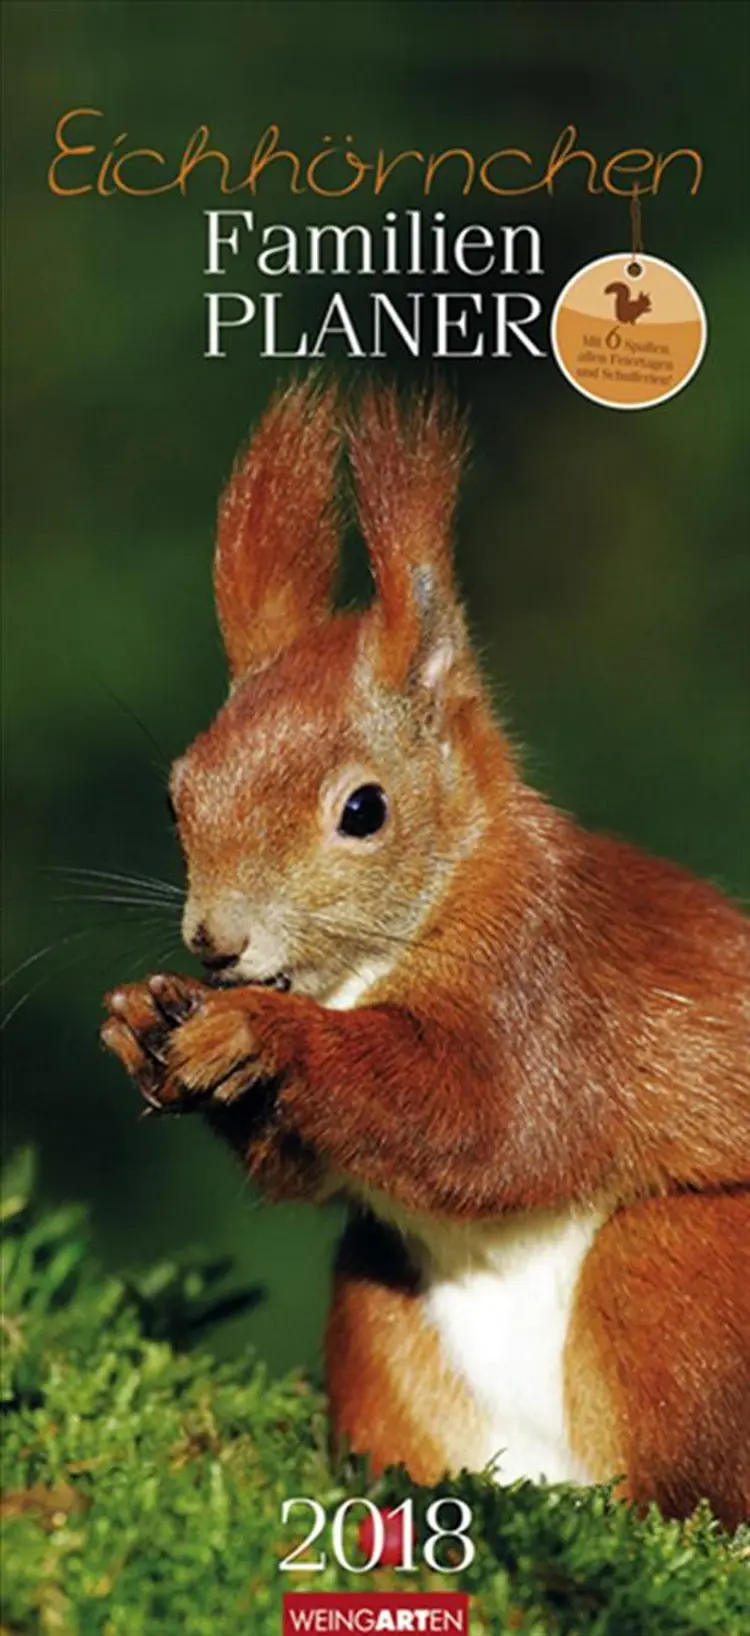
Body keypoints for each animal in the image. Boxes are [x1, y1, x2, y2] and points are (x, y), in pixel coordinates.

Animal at [102, 377, 750, 1528]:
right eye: (180, 792)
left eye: (364, 810)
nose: (215, 942)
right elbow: (311, 1169)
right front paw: (143, 1019)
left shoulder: (551, 979)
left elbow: (493, 1125)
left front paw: (265, 1032)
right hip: (381, 1312)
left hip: (684, 1276)